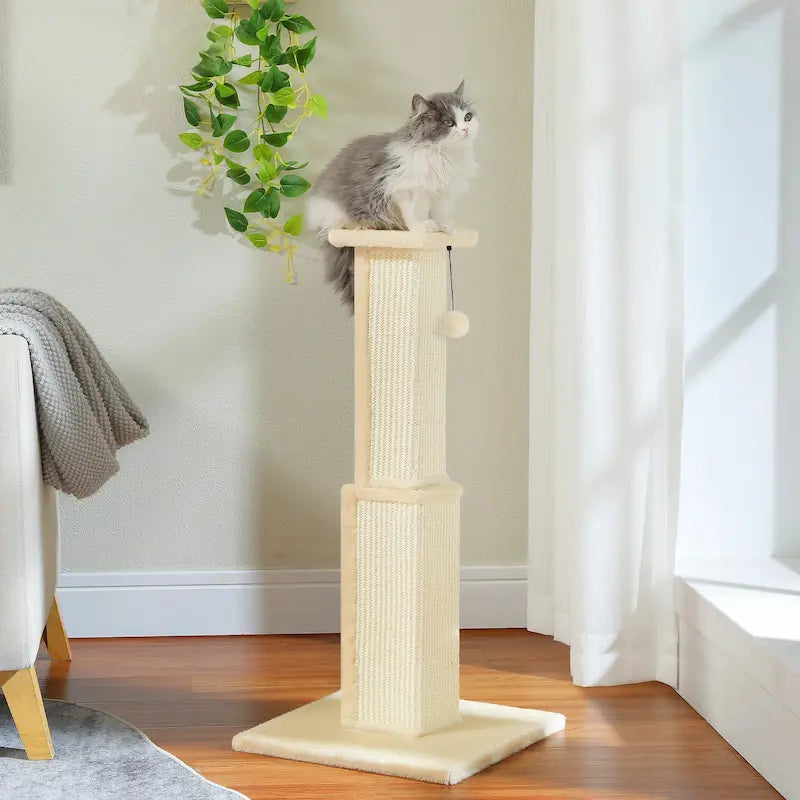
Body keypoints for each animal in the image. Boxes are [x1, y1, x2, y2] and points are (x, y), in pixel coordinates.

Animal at [306, 81, 478, 311]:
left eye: (467, 117)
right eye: (448, 122)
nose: (465, 129)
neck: (445, 157)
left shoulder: (443, 193)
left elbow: (441, 213)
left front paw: (445, 227)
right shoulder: (404, 190)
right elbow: (414, 215)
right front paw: (422, 228)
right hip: (336, 214)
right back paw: (366, 226)